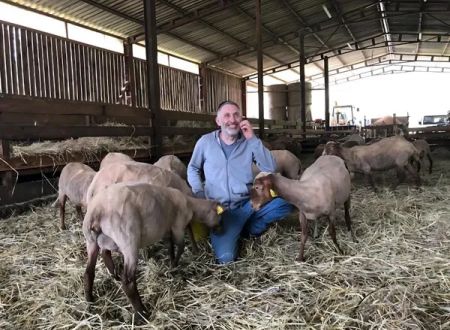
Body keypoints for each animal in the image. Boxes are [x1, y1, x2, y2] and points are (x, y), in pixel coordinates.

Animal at [82, 183, 223, 318]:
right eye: (220, 216)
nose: (220, 230)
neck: (191, 205)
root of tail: (96, 211)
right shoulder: (177, 226)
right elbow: (181, 246)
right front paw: (174, 265)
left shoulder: (166, 229)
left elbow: (170, 245)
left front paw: (172, 261)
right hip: (128, 241)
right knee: (128, 282)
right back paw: (142, 313)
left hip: (93, 241)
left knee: (90, 270)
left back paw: (91, 300)